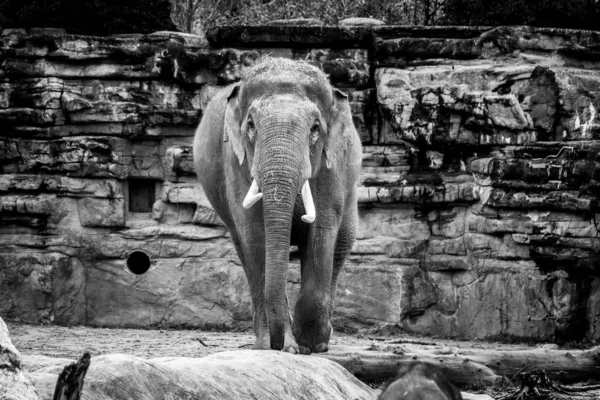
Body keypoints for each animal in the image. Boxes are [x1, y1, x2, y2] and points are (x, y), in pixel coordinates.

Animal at [193, 56, 360, 354]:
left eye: (315, 128)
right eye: (251, 126)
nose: (277, 343)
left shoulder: (333, 164)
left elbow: (322, 230)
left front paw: (310, 345)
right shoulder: (234, 161)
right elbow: (255, 233)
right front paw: (280, 348)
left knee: (341, 244)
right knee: (245, 250)